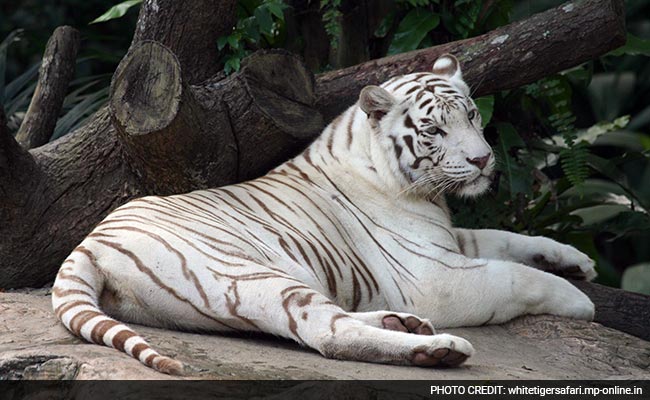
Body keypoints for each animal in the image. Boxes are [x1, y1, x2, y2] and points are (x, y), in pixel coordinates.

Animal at [52, 54, 596, 375]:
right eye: (434, 132)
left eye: (472, 115)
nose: (483, 160)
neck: (423, 193)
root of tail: (87, 244)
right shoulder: (432, 276)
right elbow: (515, 277)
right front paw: (578, 300)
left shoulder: (449, 239)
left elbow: (508, 241)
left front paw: (576, 261)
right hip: (248, 275)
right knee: (327, 333)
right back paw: (436, 349)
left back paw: (405, 324)